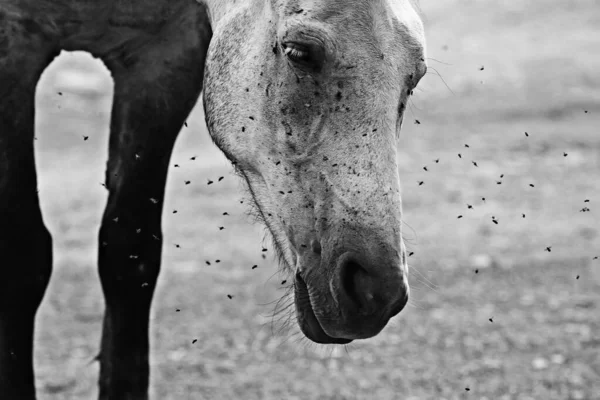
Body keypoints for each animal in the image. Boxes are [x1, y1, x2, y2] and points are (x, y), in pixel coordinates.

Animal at [2, 0, 428, 398]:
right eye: (298, 52)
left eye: (415, 76)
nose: (375, 291)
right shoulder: (13, 48)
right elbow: (24, 260)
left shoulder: (164, 56)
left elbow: (130, 256)